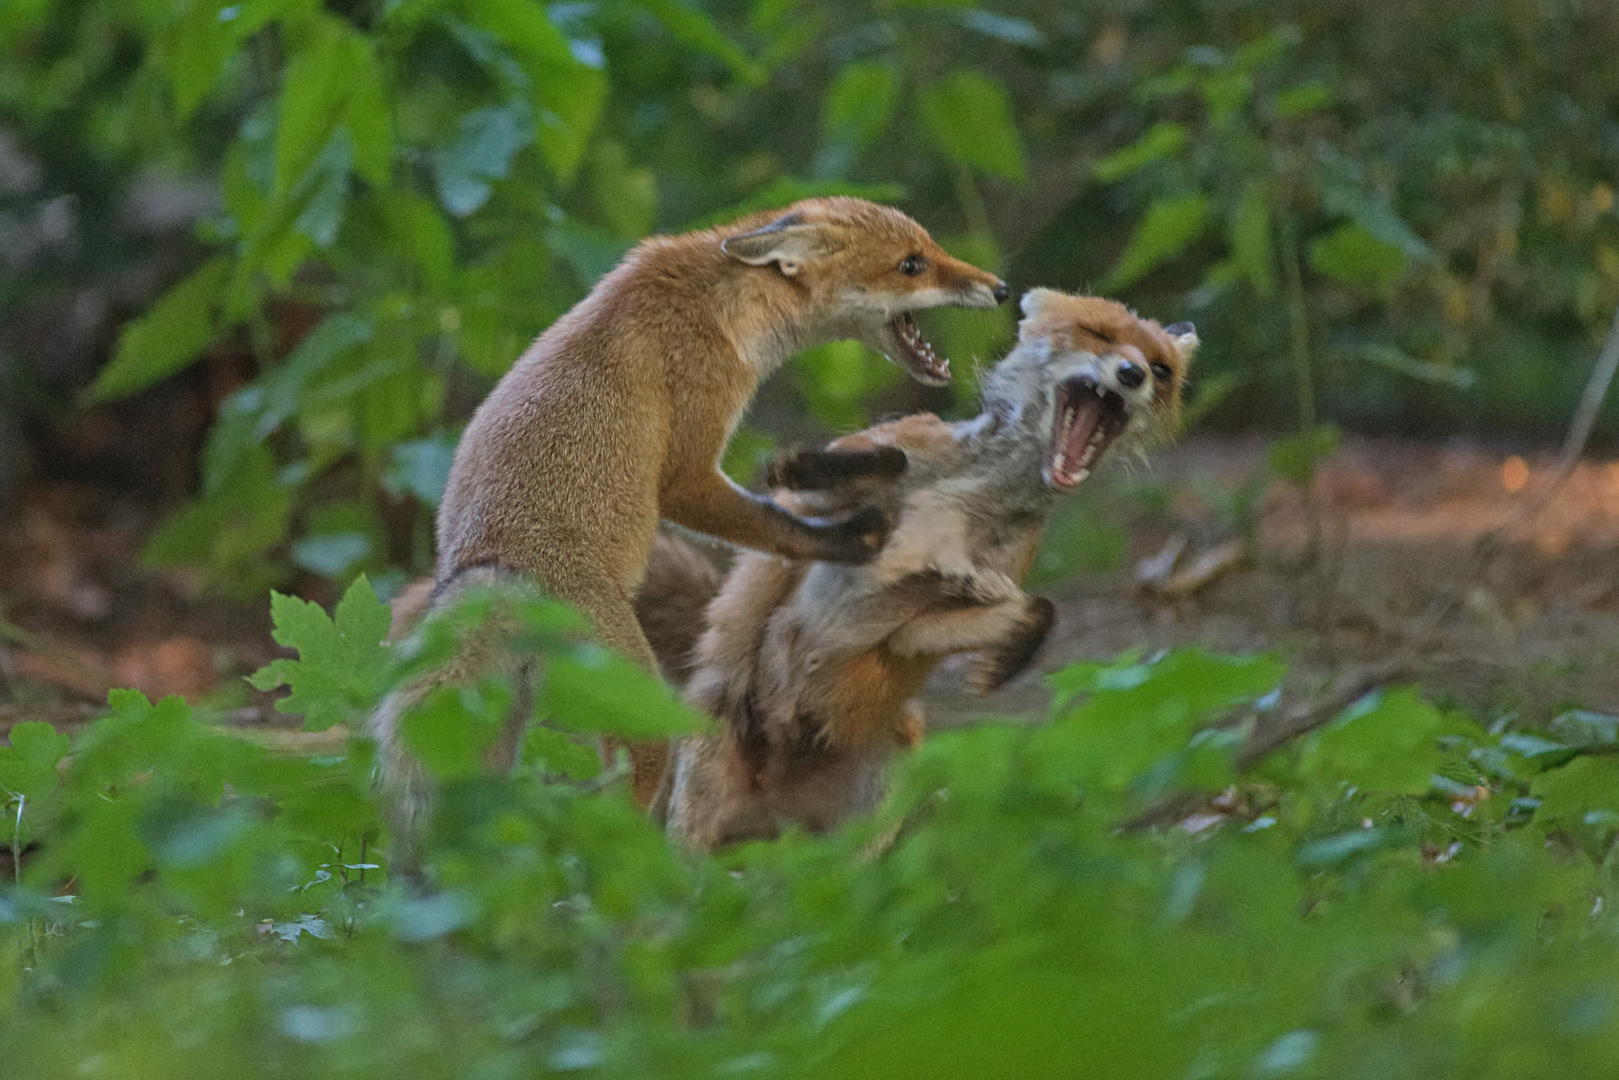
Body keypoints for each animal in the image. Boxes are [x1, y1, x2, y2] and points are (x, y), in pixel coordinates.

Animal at [369, 196, 1003, 835]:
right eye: (912, 265)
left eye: (930, 248)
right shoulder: (687, 468)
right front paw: (847, 540)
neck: (723, 305)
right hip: (640, 717)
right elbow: (775, 525)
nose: (1001, 288)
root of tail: (488, 568)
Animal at [637, 291, 1198, 848]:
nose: (1131, 374)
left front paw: (1005, 657)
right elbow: (874, 464)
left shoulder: (936, 613)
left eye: (1161, 369)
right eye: (1098, 334)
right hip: (697, 810)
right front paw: (810, 465)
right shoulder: (808, 508)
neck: (975, 490)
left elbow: (1032, 608)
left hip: (865, 817)